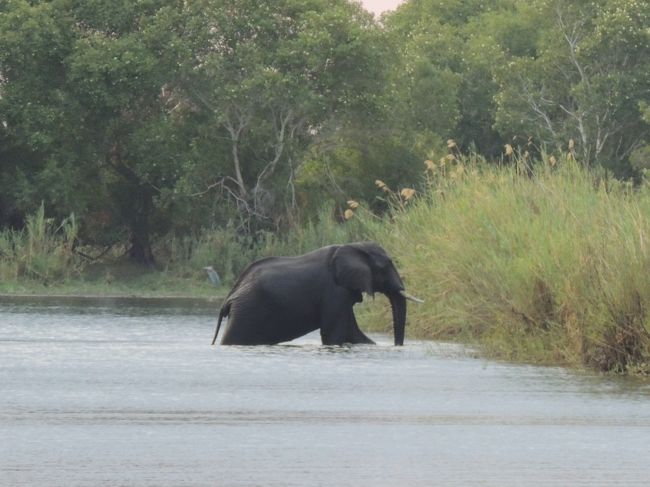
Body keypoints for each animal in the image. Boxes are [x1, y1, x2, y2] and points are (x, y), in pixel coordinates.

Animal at [208, 242, 420, 346]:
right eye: (386, 265)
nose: (398, 346)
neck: (355, 247)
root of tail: (229, 296)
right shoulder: (334, 291)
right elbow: (333, 334)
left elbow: (353, 332)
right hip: (247, 310)